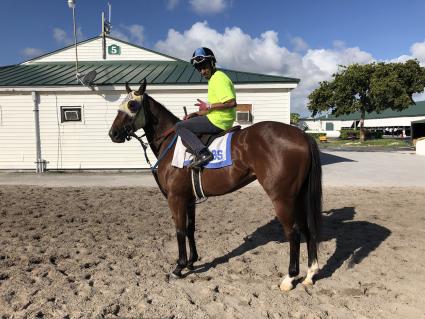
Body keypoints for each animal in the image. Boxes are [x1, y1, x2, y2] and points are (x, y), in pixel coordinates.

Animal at [107, 80, 320, 292]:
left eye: (132, 105)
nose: (113, 133)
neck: (171, 144)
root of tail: (301, 135)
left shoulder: (176, 198)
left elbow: (179, 230)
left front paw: (179, 267)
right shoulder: (189, 199)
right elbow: (190, 228)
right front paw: (192, 261)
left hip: (282, 198)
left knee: (293, 232)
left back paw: (290, 278)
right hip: (298, 196)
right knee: (307, 228)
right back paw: (310, 273)